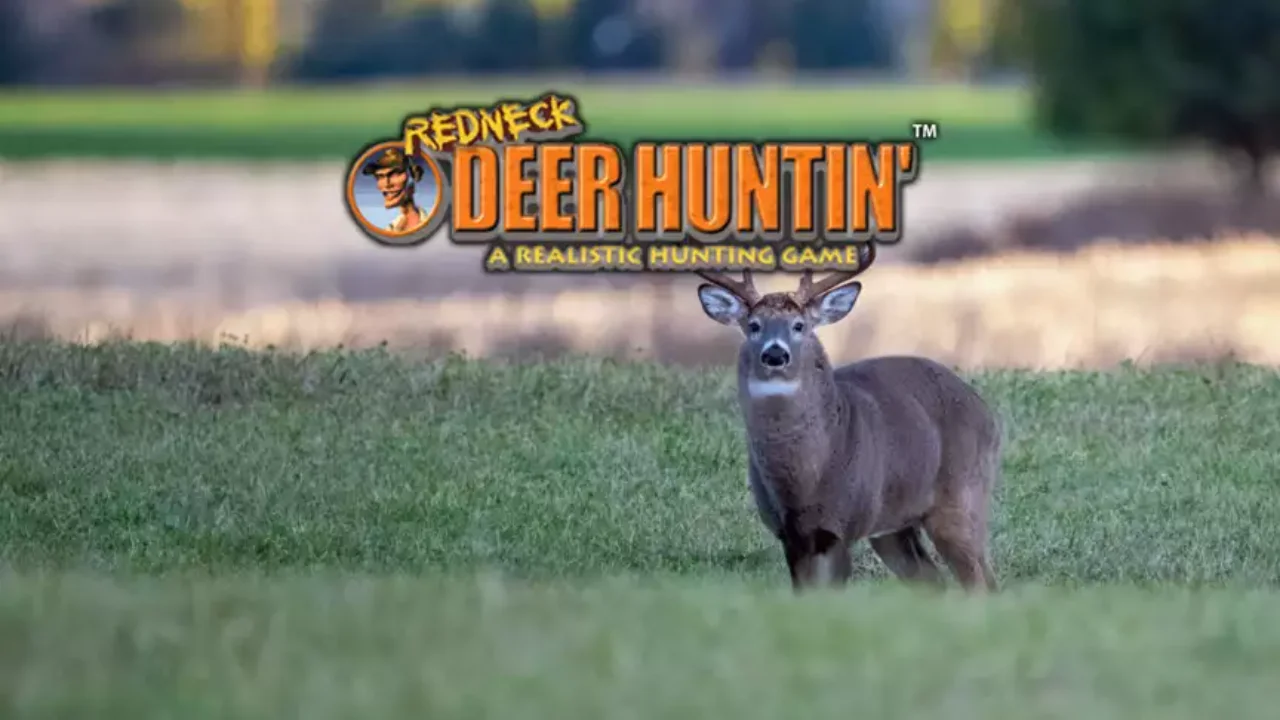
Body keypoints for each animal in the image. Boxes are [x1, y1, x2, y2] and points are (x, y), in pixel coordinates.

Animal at [694, 243, 1002, 593]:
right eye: (754, 325)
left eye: (799, 325)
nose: (775, 354)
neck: (804, 483)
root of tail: (987, 413)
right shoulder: (790, 535)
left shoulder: (841, 526)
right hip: (894, 526)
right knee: (934, 579)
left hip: (962, 497)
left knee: (980, 583)